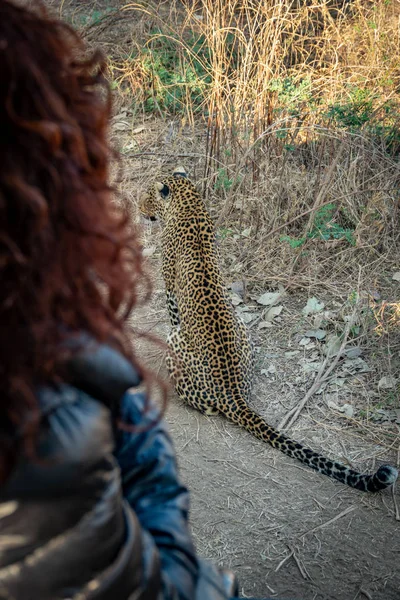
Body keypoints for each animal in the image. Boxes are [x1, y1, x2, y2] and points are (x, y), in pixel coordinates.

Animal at [140, 165, 396, 492]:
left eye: (149, 197)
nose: (139, 208)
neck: (190, 203)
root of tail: (233, 394)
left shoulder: (171, 289)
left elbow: (173, 312)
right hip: (243, 329)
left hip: (177, 343)